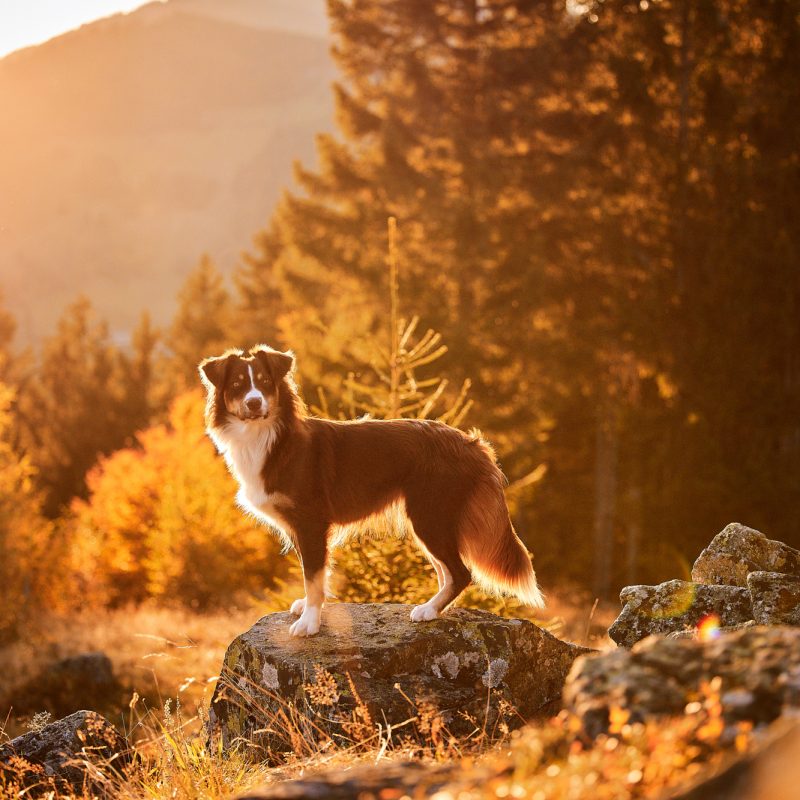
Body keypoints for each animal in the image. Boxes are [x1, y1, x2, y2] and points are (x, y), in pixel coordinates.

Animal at [199, 344, 544, 636]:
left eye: (266, 382)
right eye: (237, 385)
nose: (254, 402)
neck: (266, 436)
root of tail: (473, 443)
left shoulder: (312, 523)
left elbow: (313, 576)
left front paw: (309, 622)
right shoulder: (299, 528)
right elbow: (313, 574)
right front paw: (307, 608)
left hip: (429, 516)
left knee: (460, 572)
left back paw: (428, 610)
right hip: (430, 522)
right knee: (446, 570)